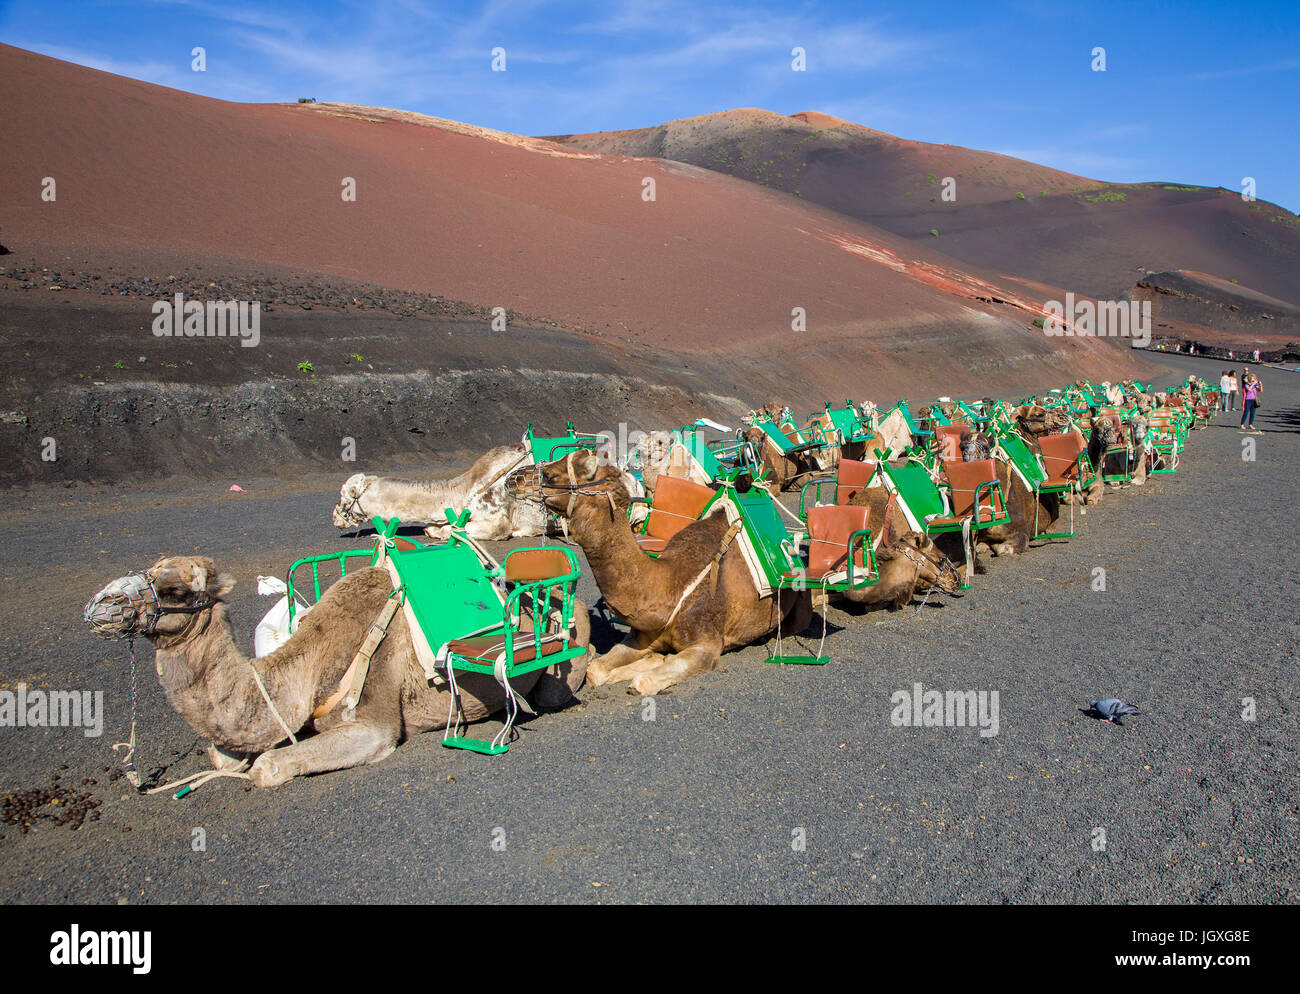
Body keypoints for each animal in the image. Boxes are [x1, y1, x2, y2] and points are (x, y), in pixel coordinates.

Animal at [82, 553, 590, 784]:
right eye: (150, 568)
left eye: (176, 591)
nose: (99, 605)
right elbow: (221, 755)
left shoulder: (374, 720)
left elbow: (266, 767)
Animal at [501, 446, 806, 696]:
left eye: (551, 475)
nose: (513, 479)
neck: (670, 586)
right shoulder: (641, 636)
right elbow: (595, 670)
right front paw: (644, 661)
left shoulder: (707, 645)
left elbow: (644, 682)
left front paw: (648, 668)